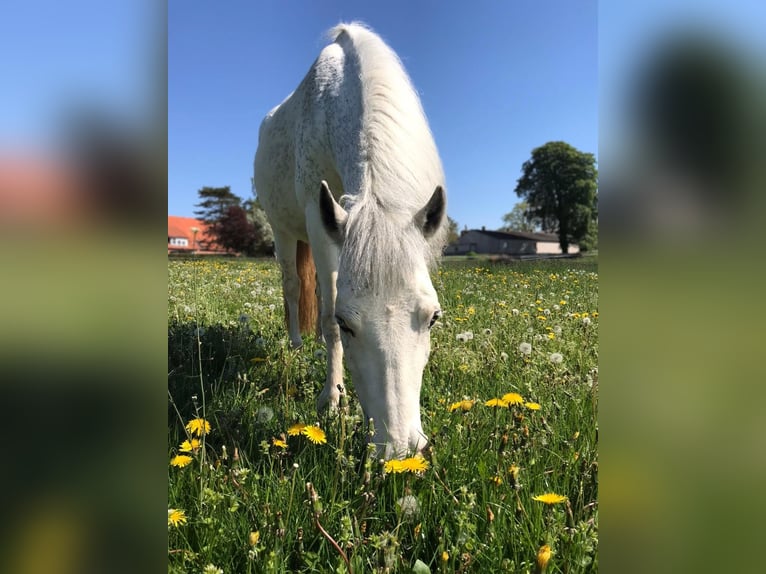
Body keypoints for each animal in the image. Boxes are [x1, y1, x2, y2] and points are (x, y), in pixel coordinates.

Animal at [255, 22, 448, 460]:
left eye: (433, 317)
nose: (400, 450)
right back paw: (296, 344)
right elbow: (325, 315)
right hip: (284, 231)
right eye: (347, 324)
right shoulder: (318, 219)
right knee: (293, 286)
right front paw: (331, 398)